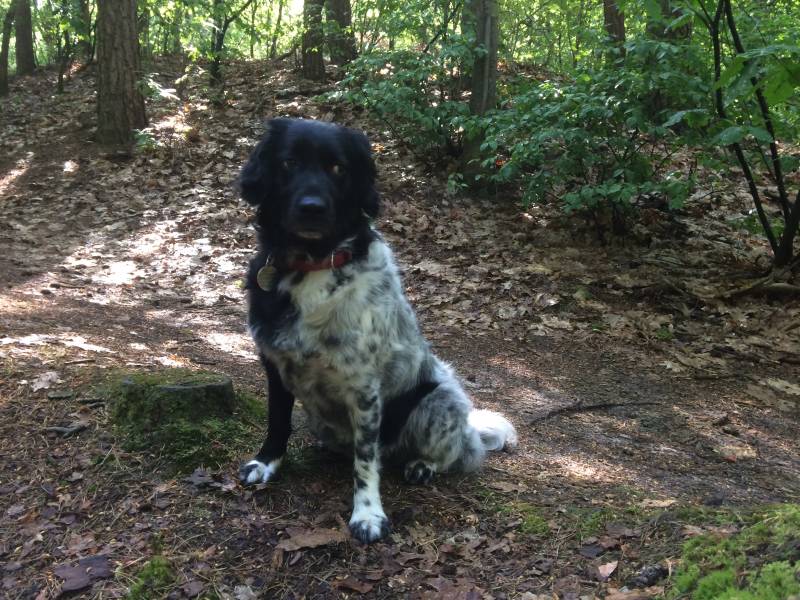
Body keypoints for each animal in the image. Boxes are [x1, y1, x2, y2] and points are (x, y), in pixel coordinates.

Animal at [237, 118, 517, 543]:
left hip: (438, 402)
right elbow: (277, 421)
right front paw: (267, 462)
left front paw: (368, 513)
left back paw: (423, 464)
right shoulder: (275, 365)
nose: (312, 208)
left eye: (338, 168)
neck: (314, 263)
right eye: (288, 163)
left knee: (456, 453)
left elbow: (366, 462)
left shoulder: (364, 389)